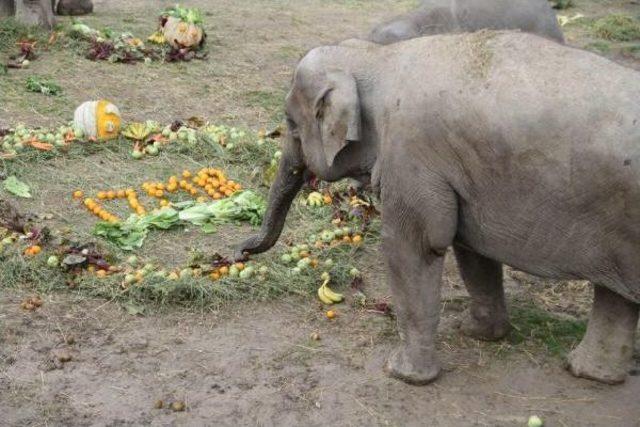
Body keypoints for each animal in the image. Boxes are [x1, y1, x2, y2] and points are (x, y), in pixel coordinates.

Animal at [235, 30, 640, 384]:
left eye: (291, 123)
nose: (239, 252)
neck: (378, 57)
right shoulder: (461, 175)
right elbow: (471, 247)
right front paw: (478, 334)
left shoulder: (412, 157)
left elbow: (413, 247)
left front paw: (402, 374)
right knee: (616, 297)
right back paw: (587, 372)